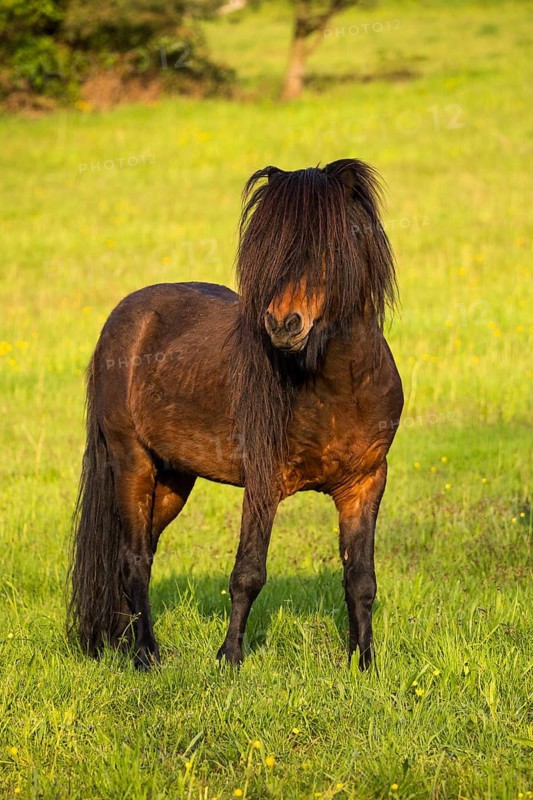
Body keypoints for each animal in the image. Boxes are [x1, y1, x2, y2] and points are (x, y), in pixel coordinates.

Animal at [68, 158, 403, 671]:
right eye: (271, 247)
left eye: (330, 244)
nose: (283, 323)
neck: (340, 386)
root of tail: (123, 318)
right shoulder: (264, 485)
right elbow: (247, 573)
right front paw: (229, 658)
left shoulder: (365, 484)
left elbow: (361, 579)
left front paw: (363, 663)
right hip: (132, 464)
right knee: (133, 559)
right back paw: (146, 654)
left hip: (173, 480)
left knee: (140, 550)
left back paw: (125, 642)